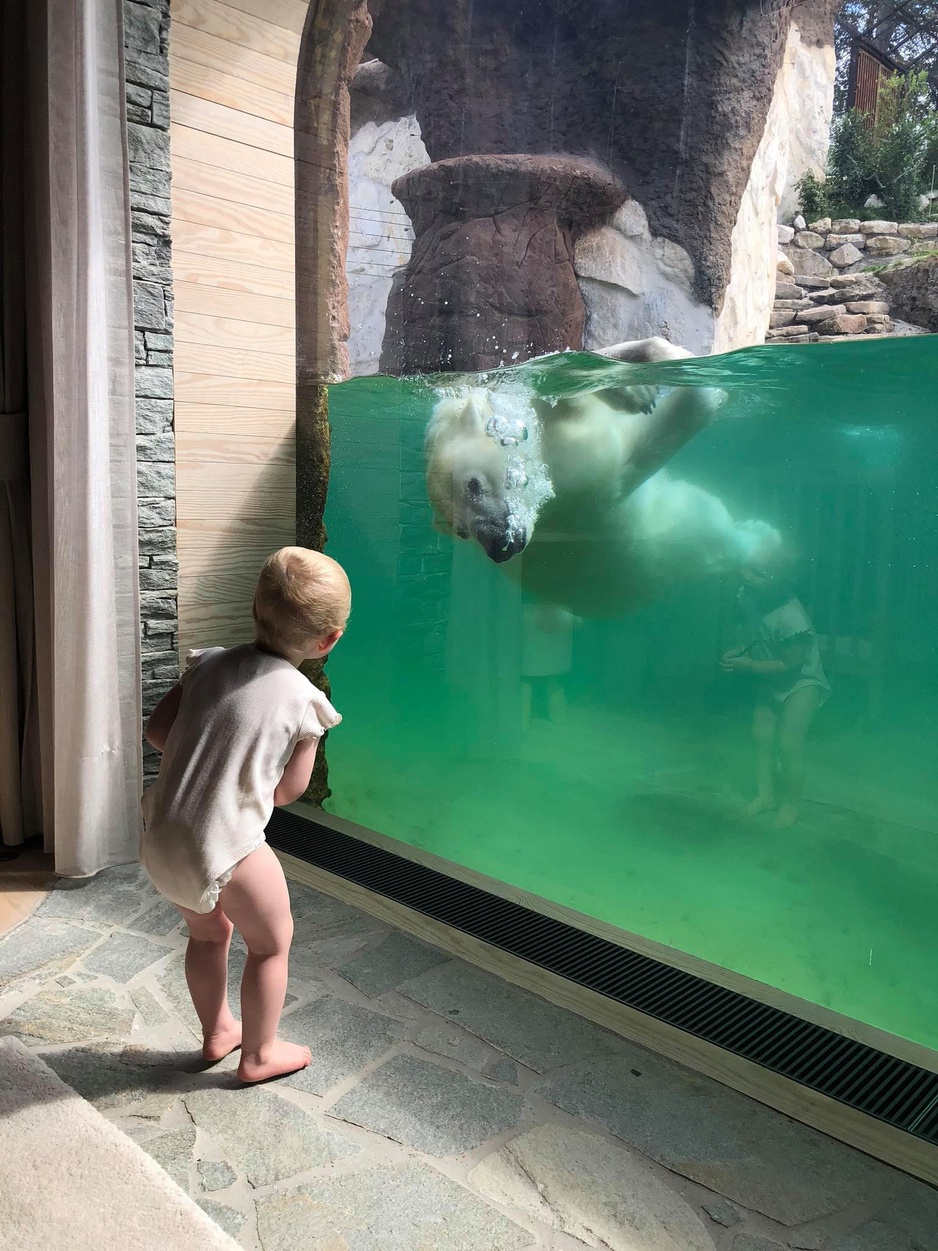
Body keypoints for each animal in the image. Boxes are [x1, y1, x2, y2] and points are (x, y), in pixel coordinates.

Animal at [425, 337, 780, 620]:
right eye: (460, 531)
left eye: (472, 485)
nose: (500, 546)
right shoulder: (582, 475)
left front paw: (642, 378)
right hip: (681, 533)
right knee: (720, 532)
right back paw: (766, 540)